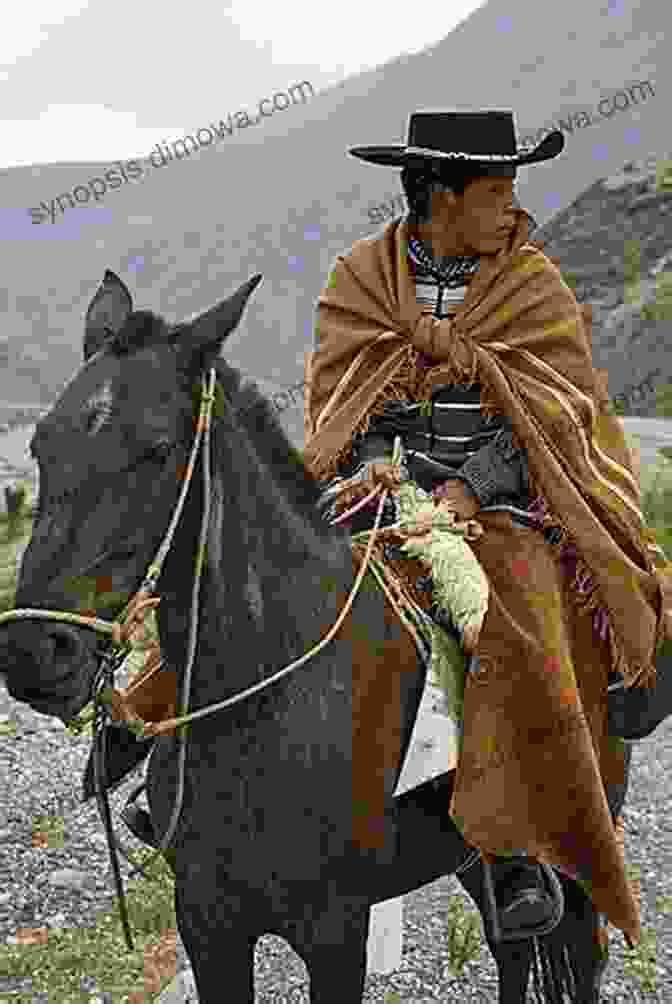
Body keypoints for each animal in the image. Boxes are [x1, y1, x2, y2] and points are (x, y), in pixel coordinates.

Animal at [1, 269, 658, 1003]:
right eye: (42, 447)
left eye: (157, 450)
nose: (34, 654)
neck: (269, 693)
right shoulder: (207, 922)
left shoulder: (335, 931)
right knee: (511, 946)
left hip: (581, 829)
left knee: (579, 952)